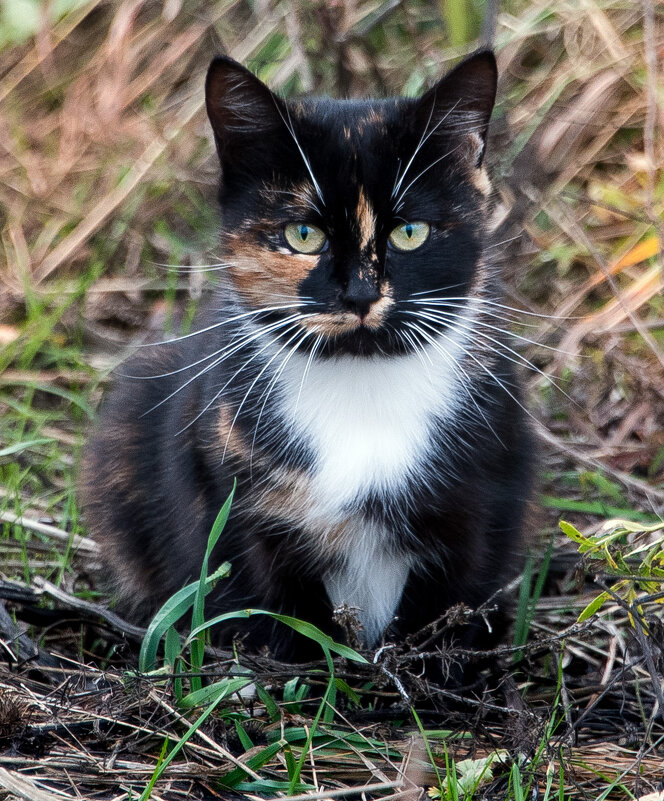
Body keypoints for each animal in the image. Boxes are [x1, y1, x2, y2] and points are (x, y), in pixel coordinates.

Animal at [79, 51, 536, 668]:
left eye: (411, 232)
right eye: (303, 234)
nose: (361, 295)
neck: (361, 386)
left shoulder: (477, 496)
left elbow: (450, 611)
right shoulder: (239, 508)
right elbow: (276, 622)